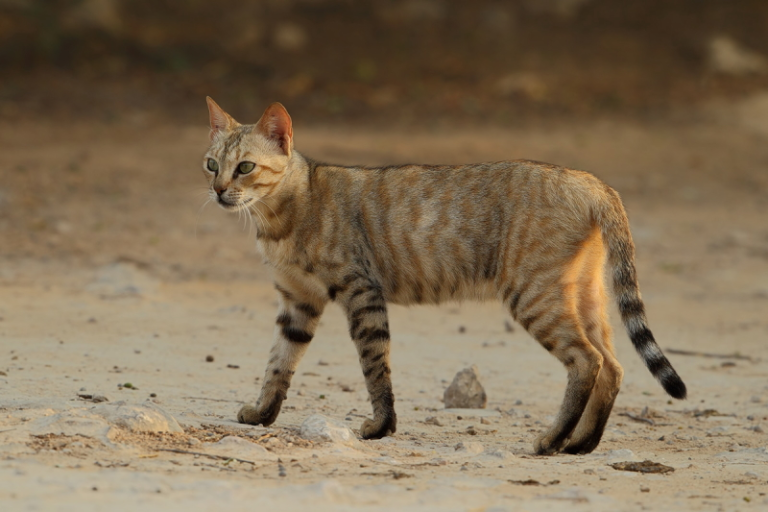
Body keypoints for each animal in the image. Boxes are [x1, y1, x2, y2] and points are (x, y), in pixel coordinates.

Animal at [201, 98, 688, 454]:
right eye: (210, 164)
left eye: (245, 167)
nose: (219, 190)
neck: (278, 219)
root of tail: (591, 181)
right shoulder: (297, 302)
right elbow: (278, 365)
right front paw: (262, 415)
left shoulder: (361, 291)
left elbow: (375, 366)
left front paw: (380, 427)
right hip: (584, 294)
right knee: (614, 365)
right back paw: (580, 444)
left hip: (536, 295)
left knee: (587, 361)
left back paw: (550, 441)